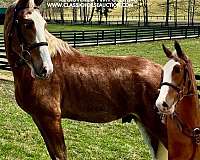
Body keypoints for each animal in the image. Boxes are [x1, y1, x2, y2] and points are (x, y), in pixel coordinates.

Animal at [4, 0, 167, 159]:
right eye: (27, 24)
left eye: (43, 24)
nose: (46, 69)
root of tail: (161, 70)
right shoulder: (39, 119)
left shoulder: (50, 118)